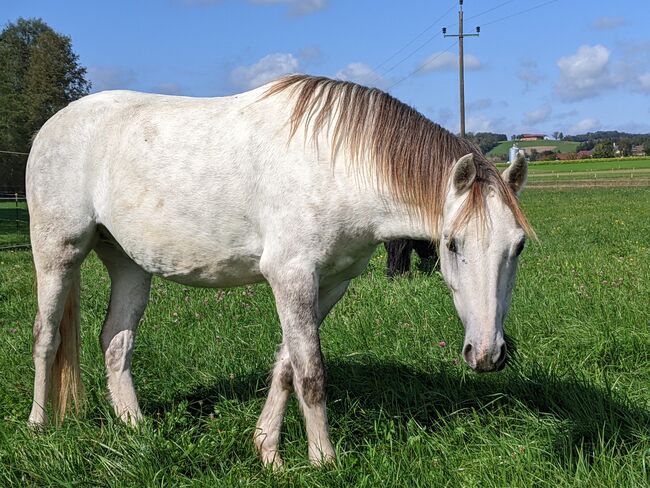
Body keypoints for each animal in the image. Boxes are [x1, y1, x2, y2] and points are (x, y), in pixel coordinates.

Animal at [26, 74, 532, 468]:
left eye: (519, 246)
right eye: (452, 244)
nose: (487, 354)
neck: (337, 165)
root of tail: (52, 125)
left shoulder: (329, 284)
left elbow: (287, 365)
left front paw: (267, 451)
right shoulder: (292, 277)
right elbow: (311, 372)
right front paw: (323, 460)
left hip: (129, 264)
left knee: (115, 342)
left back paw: (136, 429)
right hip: (58, 252)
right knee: (46, 335)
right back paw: (39, 425)